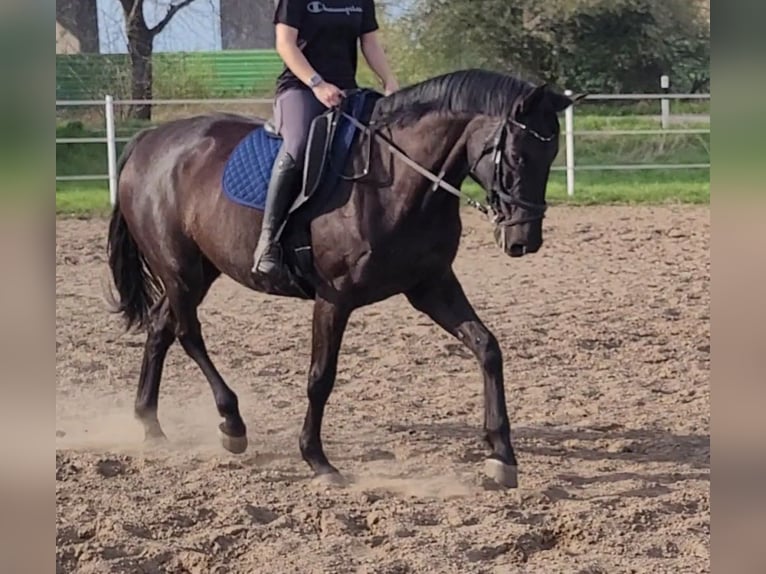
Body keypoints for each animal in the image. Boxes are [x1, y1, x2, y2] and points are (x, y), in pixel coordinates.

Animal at [106, 68, 582, 488]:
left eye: (551, 157)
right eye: (517, 156)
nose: (524, 240)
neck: (397, 180)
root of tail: (149, 141)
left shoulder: (431, 286)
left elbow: (487, 348)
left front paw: (502, 456)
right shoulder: (334, 298)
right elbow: (321, 377)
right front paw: (317, 460)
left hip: (200, 270)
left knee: (161, 327)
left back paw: (150, 424)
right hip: (180, 270)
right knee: (188, 333)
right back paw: (231, 422)